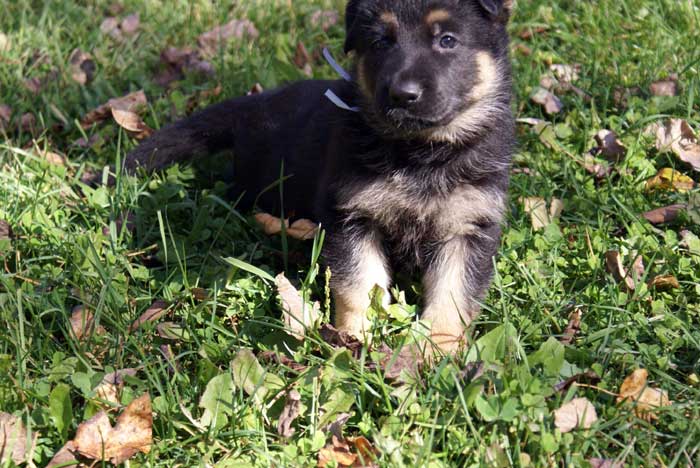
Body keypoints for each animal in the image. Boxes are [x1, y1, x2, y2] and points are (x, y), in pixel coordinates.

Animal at [126, 0, 516, 352]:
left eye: (447, 40)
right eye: (380, 43)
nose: (402, 95)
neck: (420, 153)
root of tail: (253, 105)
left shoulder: (468, 227)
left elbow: (453, 295)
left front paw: (434, 352)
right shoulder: (351, 216)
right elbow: (361, 284)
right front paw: (356, 338)